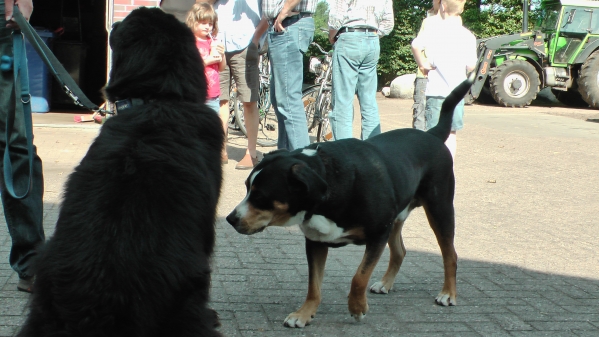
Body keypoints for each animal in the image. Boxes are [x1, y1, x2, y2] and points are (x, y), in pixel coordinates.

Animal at [225, 77, 474, 324]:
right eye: (247, 188)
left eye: (260, 196)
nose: (230, 219)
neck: (330, 184)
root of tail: (431, 133)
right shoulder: (316, 242)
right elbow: (313, 285)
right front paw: (304, 313)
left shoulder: (377, 235)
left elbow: (359, 277)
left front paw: (357, 307)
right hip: (397, 217)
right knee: (399, 251)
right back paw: (386, 283)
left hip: (439, 208)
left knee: (450, 254)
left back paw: (448, 293)